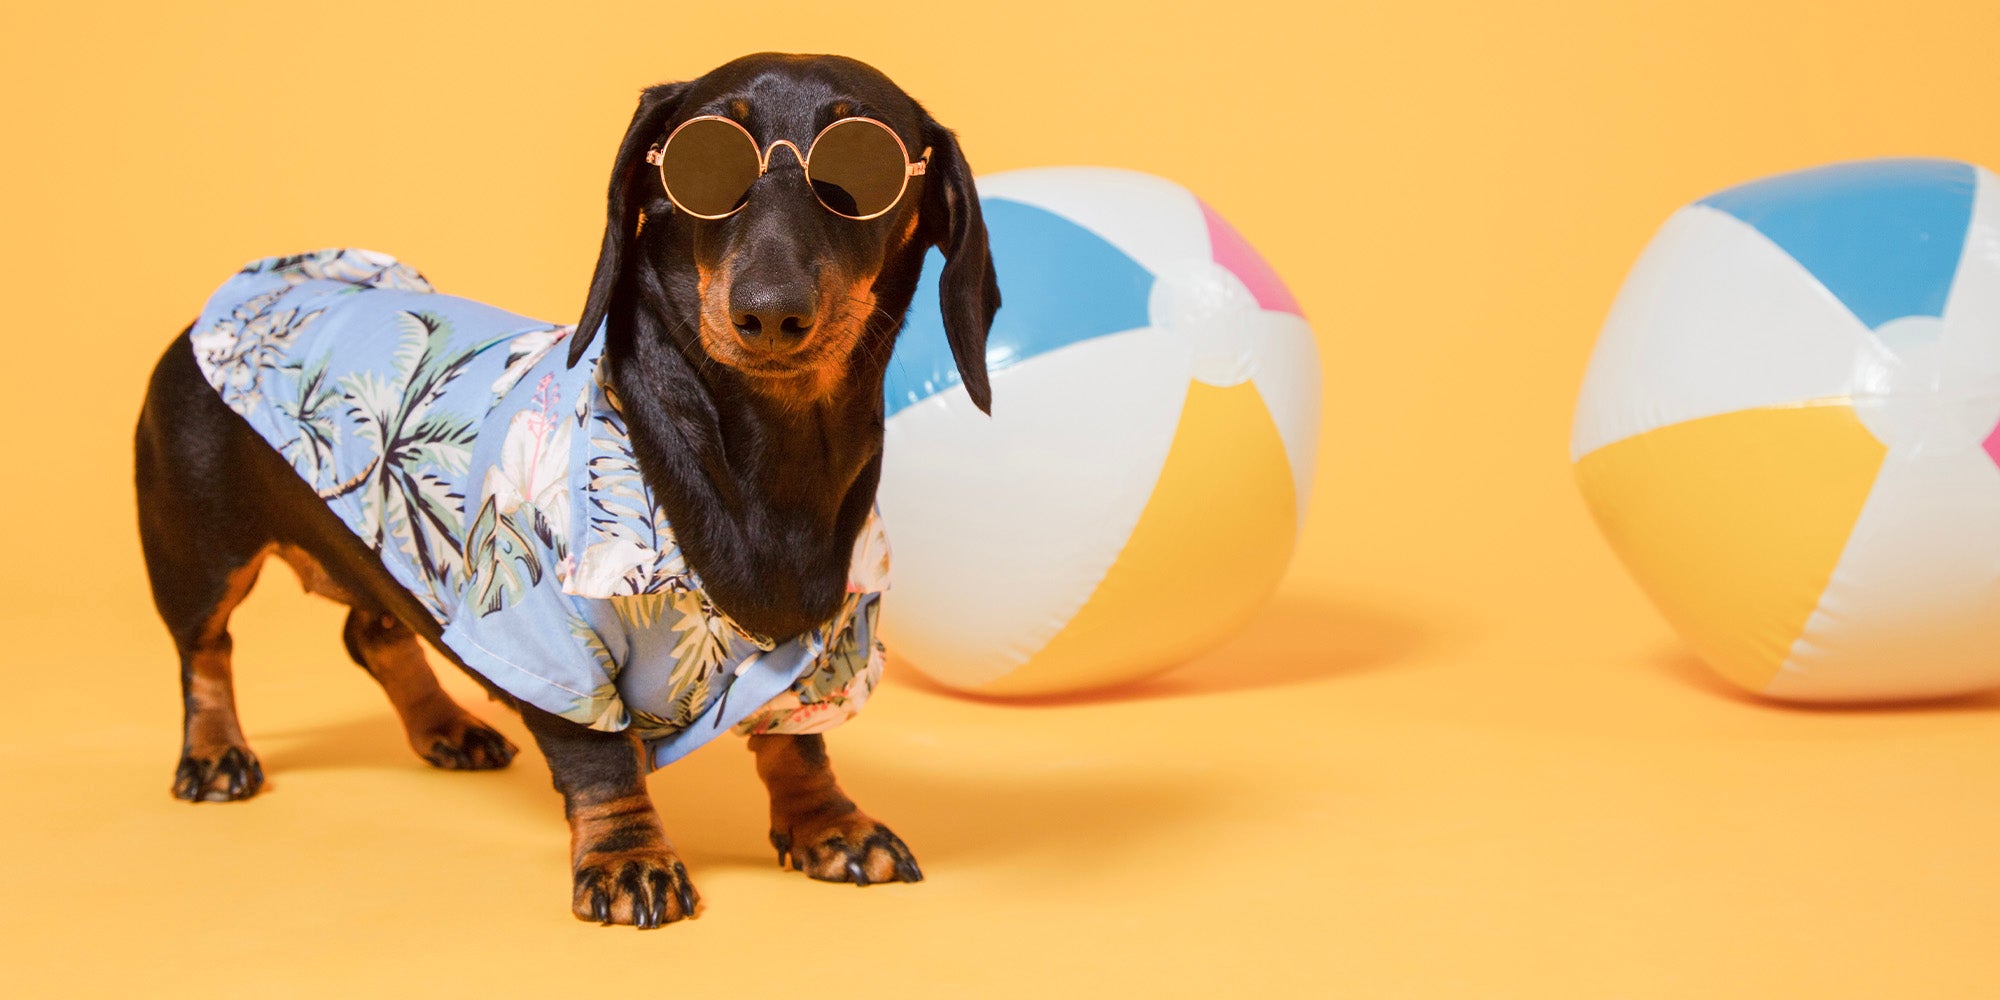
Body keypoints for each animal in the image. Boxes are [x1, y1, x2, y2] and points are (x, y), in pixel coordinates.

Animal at [137, 52, 996, 928]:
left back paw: (446, 727)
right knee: (205, 650)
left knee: (371, 634)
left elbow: (797, 739)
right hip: (199, 550)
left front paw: (830, 824)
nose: (770, 312)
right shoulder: (547, 628)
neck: (767, 451)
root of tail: (241, 296)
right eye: (703, 161)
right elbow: (598, 754)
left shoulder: (829, 639)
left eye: (864, 163)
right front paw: (629, 857)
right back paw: (215, 753)